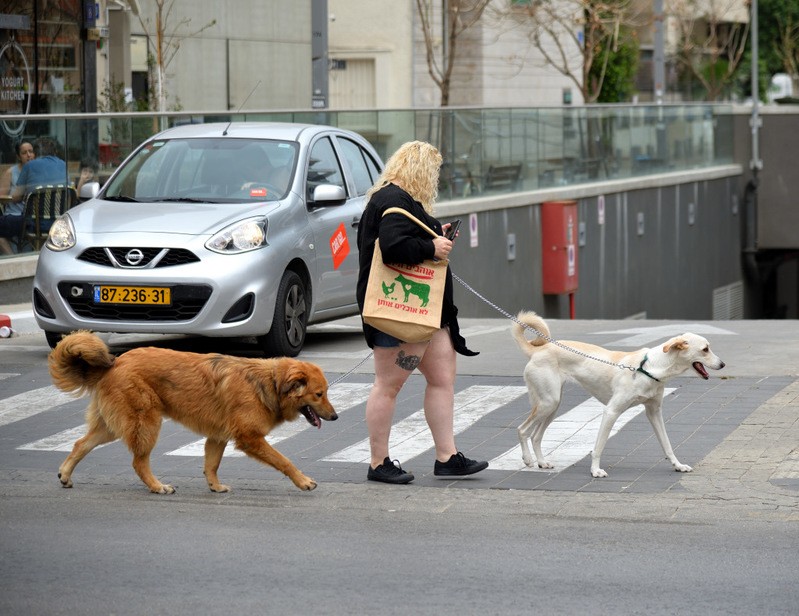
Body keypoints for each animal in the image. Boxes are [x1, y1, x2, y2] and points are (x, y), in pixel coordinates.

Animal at [49, 330, 338, 494]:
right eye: (319, 394)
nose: (335, 417)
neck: (270, 383)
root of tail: (115, 363)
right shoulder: (251, 438)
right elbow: (283, 461)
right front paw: (303, 481)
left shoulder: (218, 437)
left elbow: (211, 465)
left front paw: (215, 486)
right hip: (146, 424)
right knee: (138, 462)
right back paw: (157, 487)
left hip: (112, 426)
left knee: (81, 444)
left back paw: (65, 475)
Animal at [512, 310, 724, 478]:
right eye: (705, 349)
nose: (723, 364)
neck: (651, 368)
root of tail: (538, 350)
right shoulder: (611, 411)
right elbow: (598, 447)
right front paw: (595, 470)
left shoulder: (654, 412)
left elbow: (667, 444)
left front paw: (678, 465)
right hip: (548, 403)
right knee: (522, 430)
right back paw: (528, 459)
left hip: (552, 406)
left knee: (536, 436)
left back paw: (541, 462)